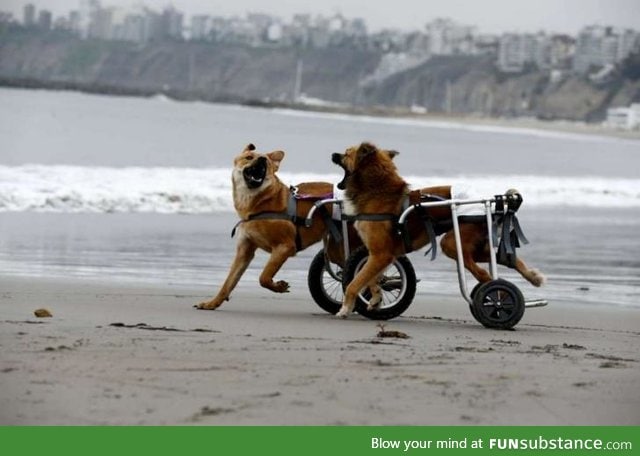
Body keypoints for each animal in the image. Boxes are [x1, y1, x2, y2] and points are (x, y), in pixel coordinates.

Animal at [196, 143, 336, 310]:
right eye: (249, 157)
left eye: (267, 161)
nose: (262, 159)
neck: (258, 204)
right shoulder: (245, 251)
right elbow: (228, 282)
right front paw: (212, 303)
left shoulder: (285, 246)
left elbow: (264, 277)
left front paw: (278, 287)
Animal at [330, 142, 544, 318]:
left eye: (347, 153)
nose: (333, 154)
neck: (378, 191)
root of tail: (493, 205)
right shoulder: (381, 255)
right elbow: (372, 279)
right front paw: (375, 299)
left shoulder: (381, 254)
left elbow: (355, 283)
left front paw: (345, 308)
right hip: (473, 246)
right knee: (507, 259)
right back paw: (533, 277)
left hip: (451, 243)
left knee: (484, 275)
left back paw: (497, 299)